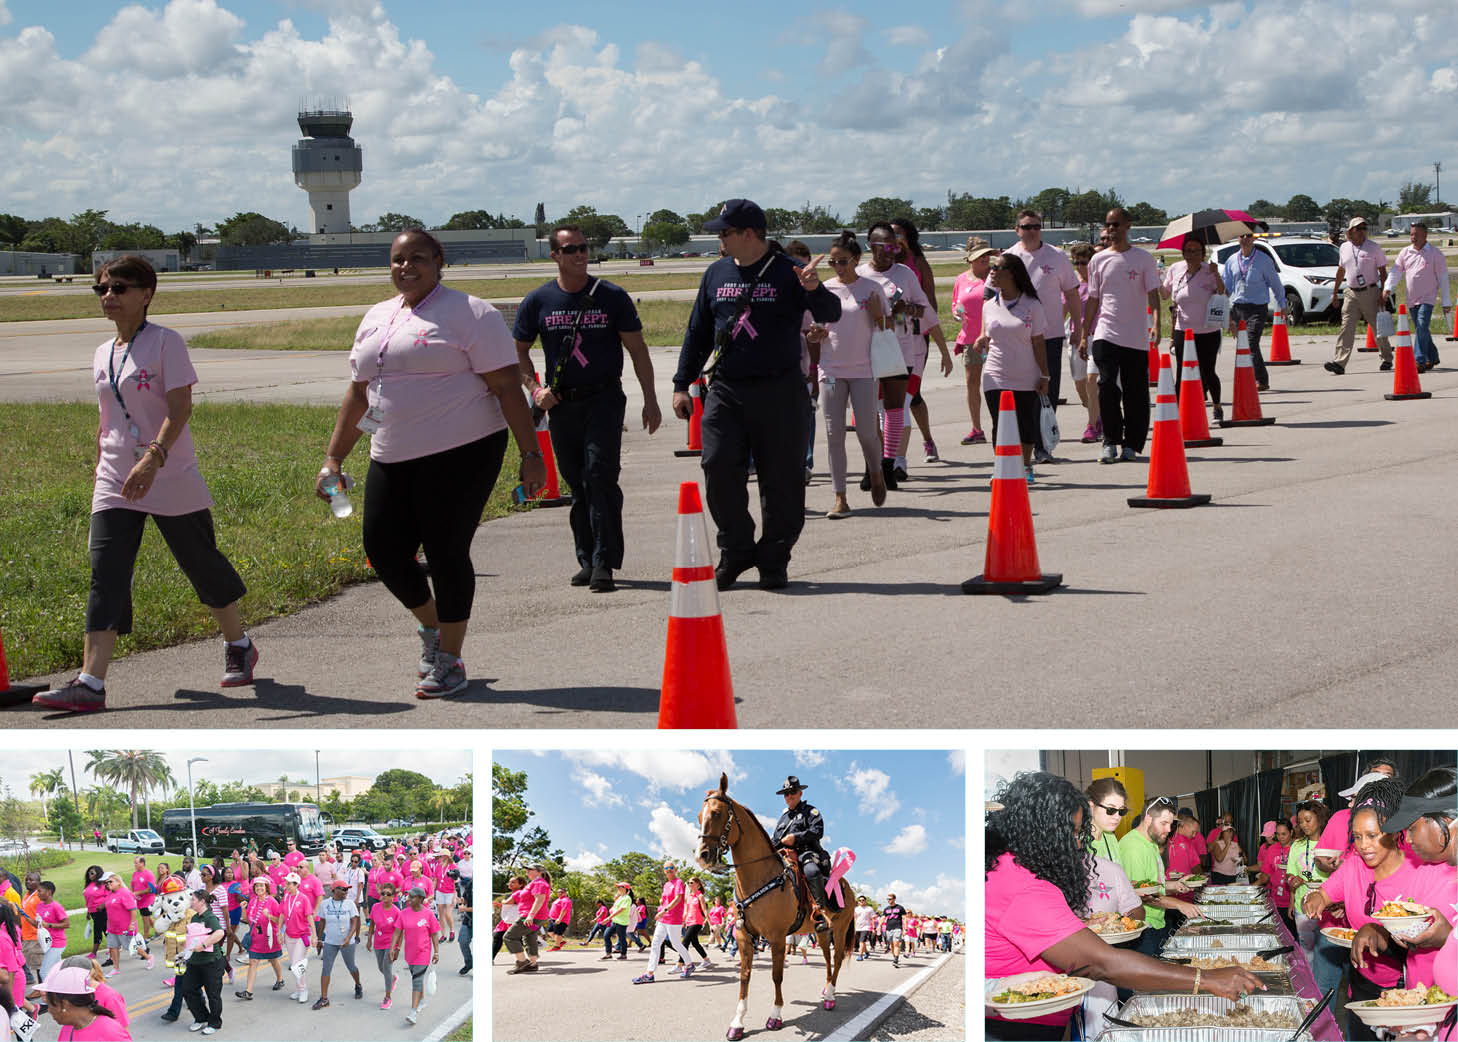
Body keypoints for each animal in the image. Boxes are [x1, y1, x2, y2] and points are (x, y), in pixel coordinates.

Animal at [694, 769, 851, 1037]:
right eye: (698, 816)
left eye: (716, 813)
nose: (702, 856)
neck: (760, 875)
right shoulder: (744, 936)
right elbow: (745, 976)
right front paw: (737, 1022)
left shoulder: (777, 938)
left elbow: (777, 976)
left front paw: (775, 1015)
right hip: (822, 931)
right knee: (828, 960)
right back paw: (826, 989)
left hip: (839, 930)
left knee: (838, 959)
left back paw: (831, 996)